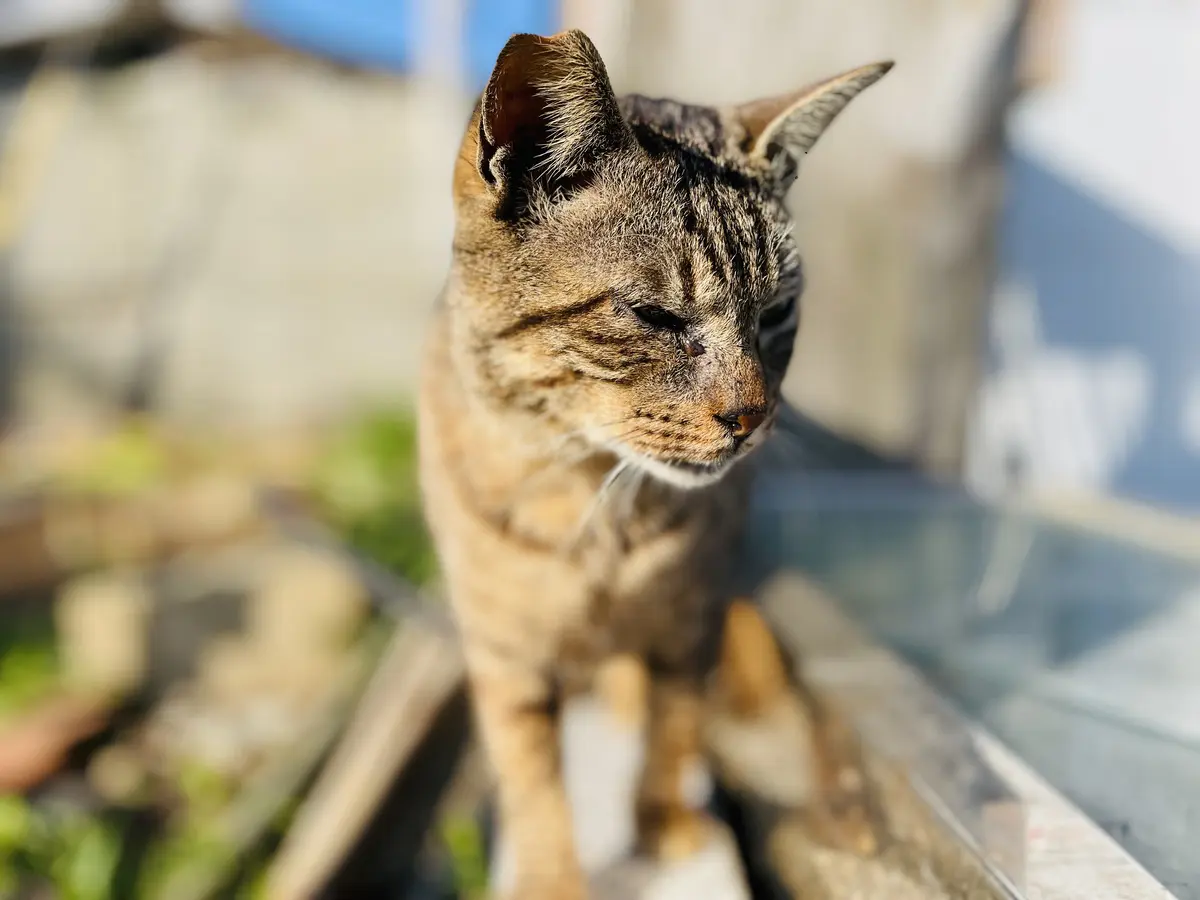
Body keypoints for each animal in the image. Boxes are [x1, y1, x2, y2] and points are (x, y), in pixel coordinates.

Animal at [420, 30, 892, 900]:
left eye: (778, 313)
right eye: (655, 316)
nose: (750, 417)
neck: (593, 502)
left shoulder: (692, 624)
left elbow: (673, 730)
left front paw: (661, 822)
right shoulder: (506, 658)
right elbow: (533, 785)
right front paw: (550, 880)